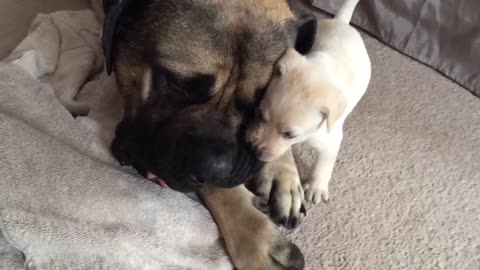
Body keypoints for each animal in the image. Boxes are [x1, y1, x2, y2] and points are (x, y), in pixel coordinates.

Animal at [246, 0, 370, 206]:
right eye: (260, 115)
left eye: (289, 135)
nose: (253, 148)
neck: (320, 72)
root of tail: (342, 21)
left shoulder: (330, 140)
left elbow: (324, 164)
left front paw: (316, 187)